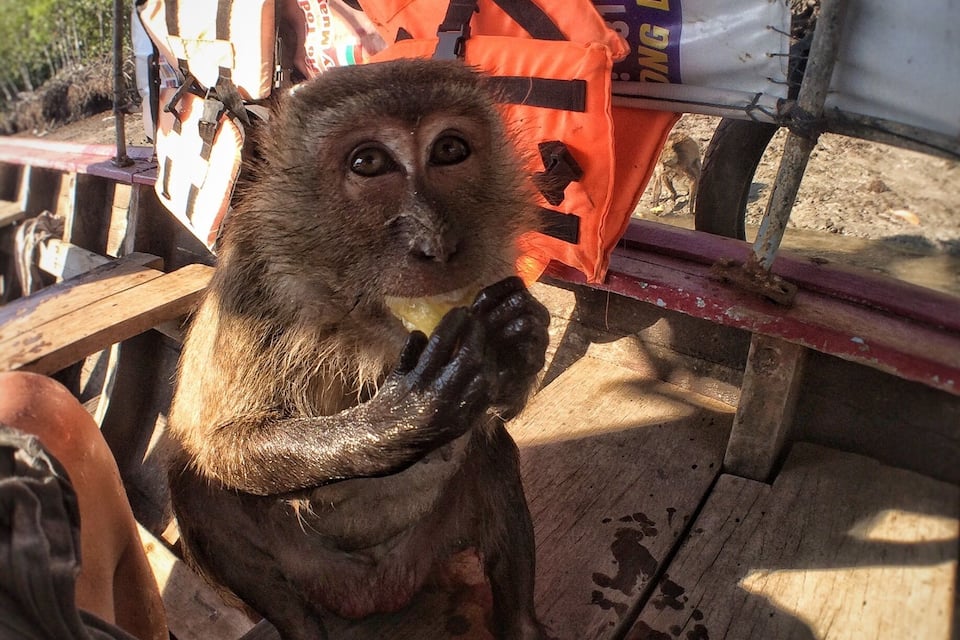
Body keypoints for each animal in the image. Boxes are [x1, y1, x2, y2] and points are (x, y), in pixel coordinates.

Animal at [163, 58, 551, 640]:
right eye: (369, 162)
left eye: (450, 149)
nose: (437, 245)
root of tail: (377, 591)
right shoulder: (250, 288)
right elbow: (215, 443)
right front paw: (397, 423)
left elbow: (496, 407)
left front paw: (523, 338)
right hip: (318, 574)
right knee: (195, 485)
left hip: (427, 548)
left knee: (491, 447)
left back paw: (520, 622)